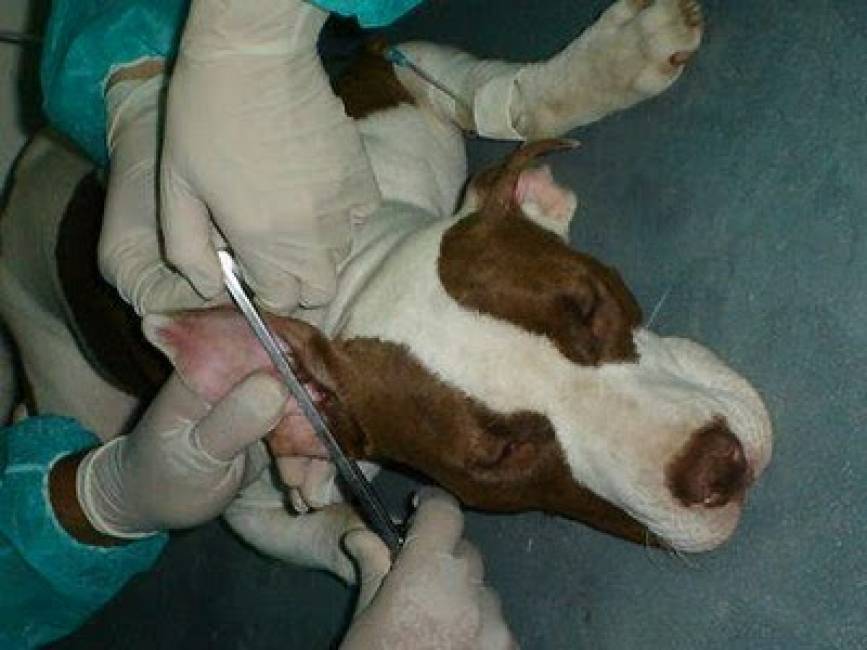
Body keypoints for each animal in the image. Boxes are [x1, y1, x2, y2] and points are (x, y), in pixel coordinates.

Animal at [0, 0, 771, 574]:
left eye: (588, 305)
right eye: (498, 459)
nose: (715, 468)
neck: (351, 274)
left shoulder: (391, 87)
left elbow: (497, 94)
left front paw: (613, 60)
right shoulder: (238, 486)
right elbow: (332, 535)